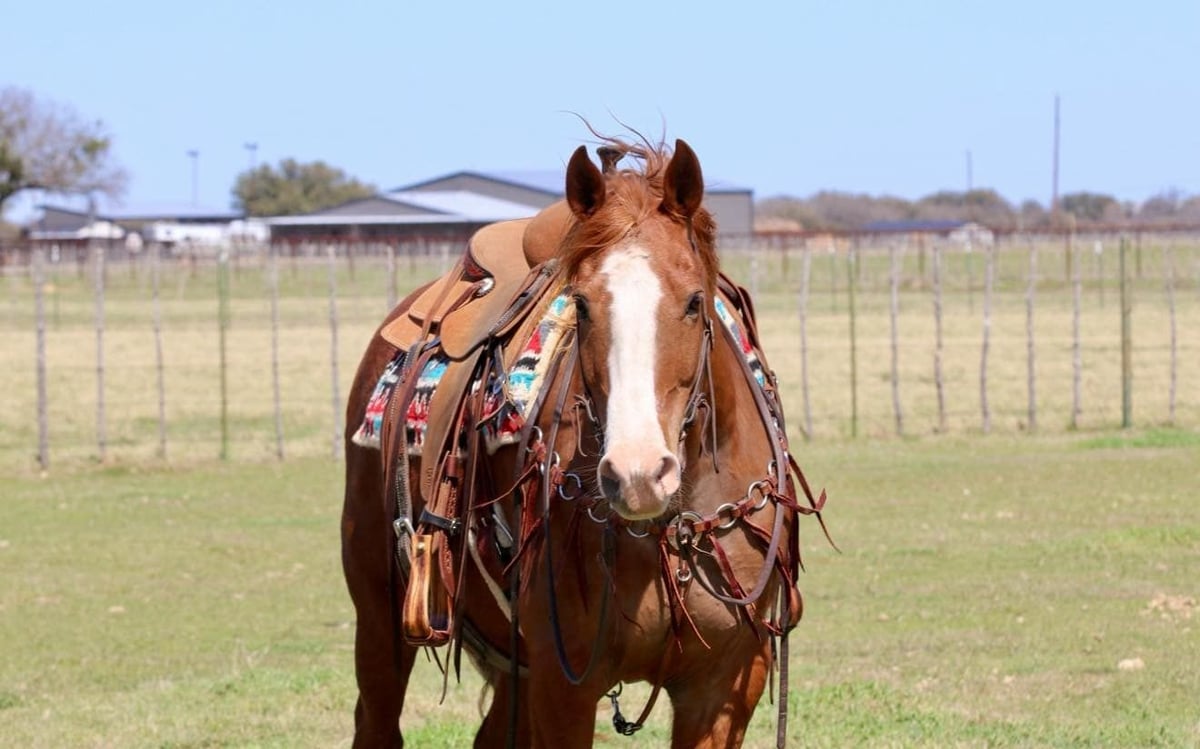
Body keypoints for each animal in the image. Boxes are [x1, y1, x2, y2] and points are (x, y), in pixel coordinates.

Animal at [341, 135, 829, 748]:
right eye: (581, 304)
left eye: (695, 301)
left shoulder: (725, 688)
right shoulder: (563, 684)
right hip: (379, 612)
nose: (638, 475)